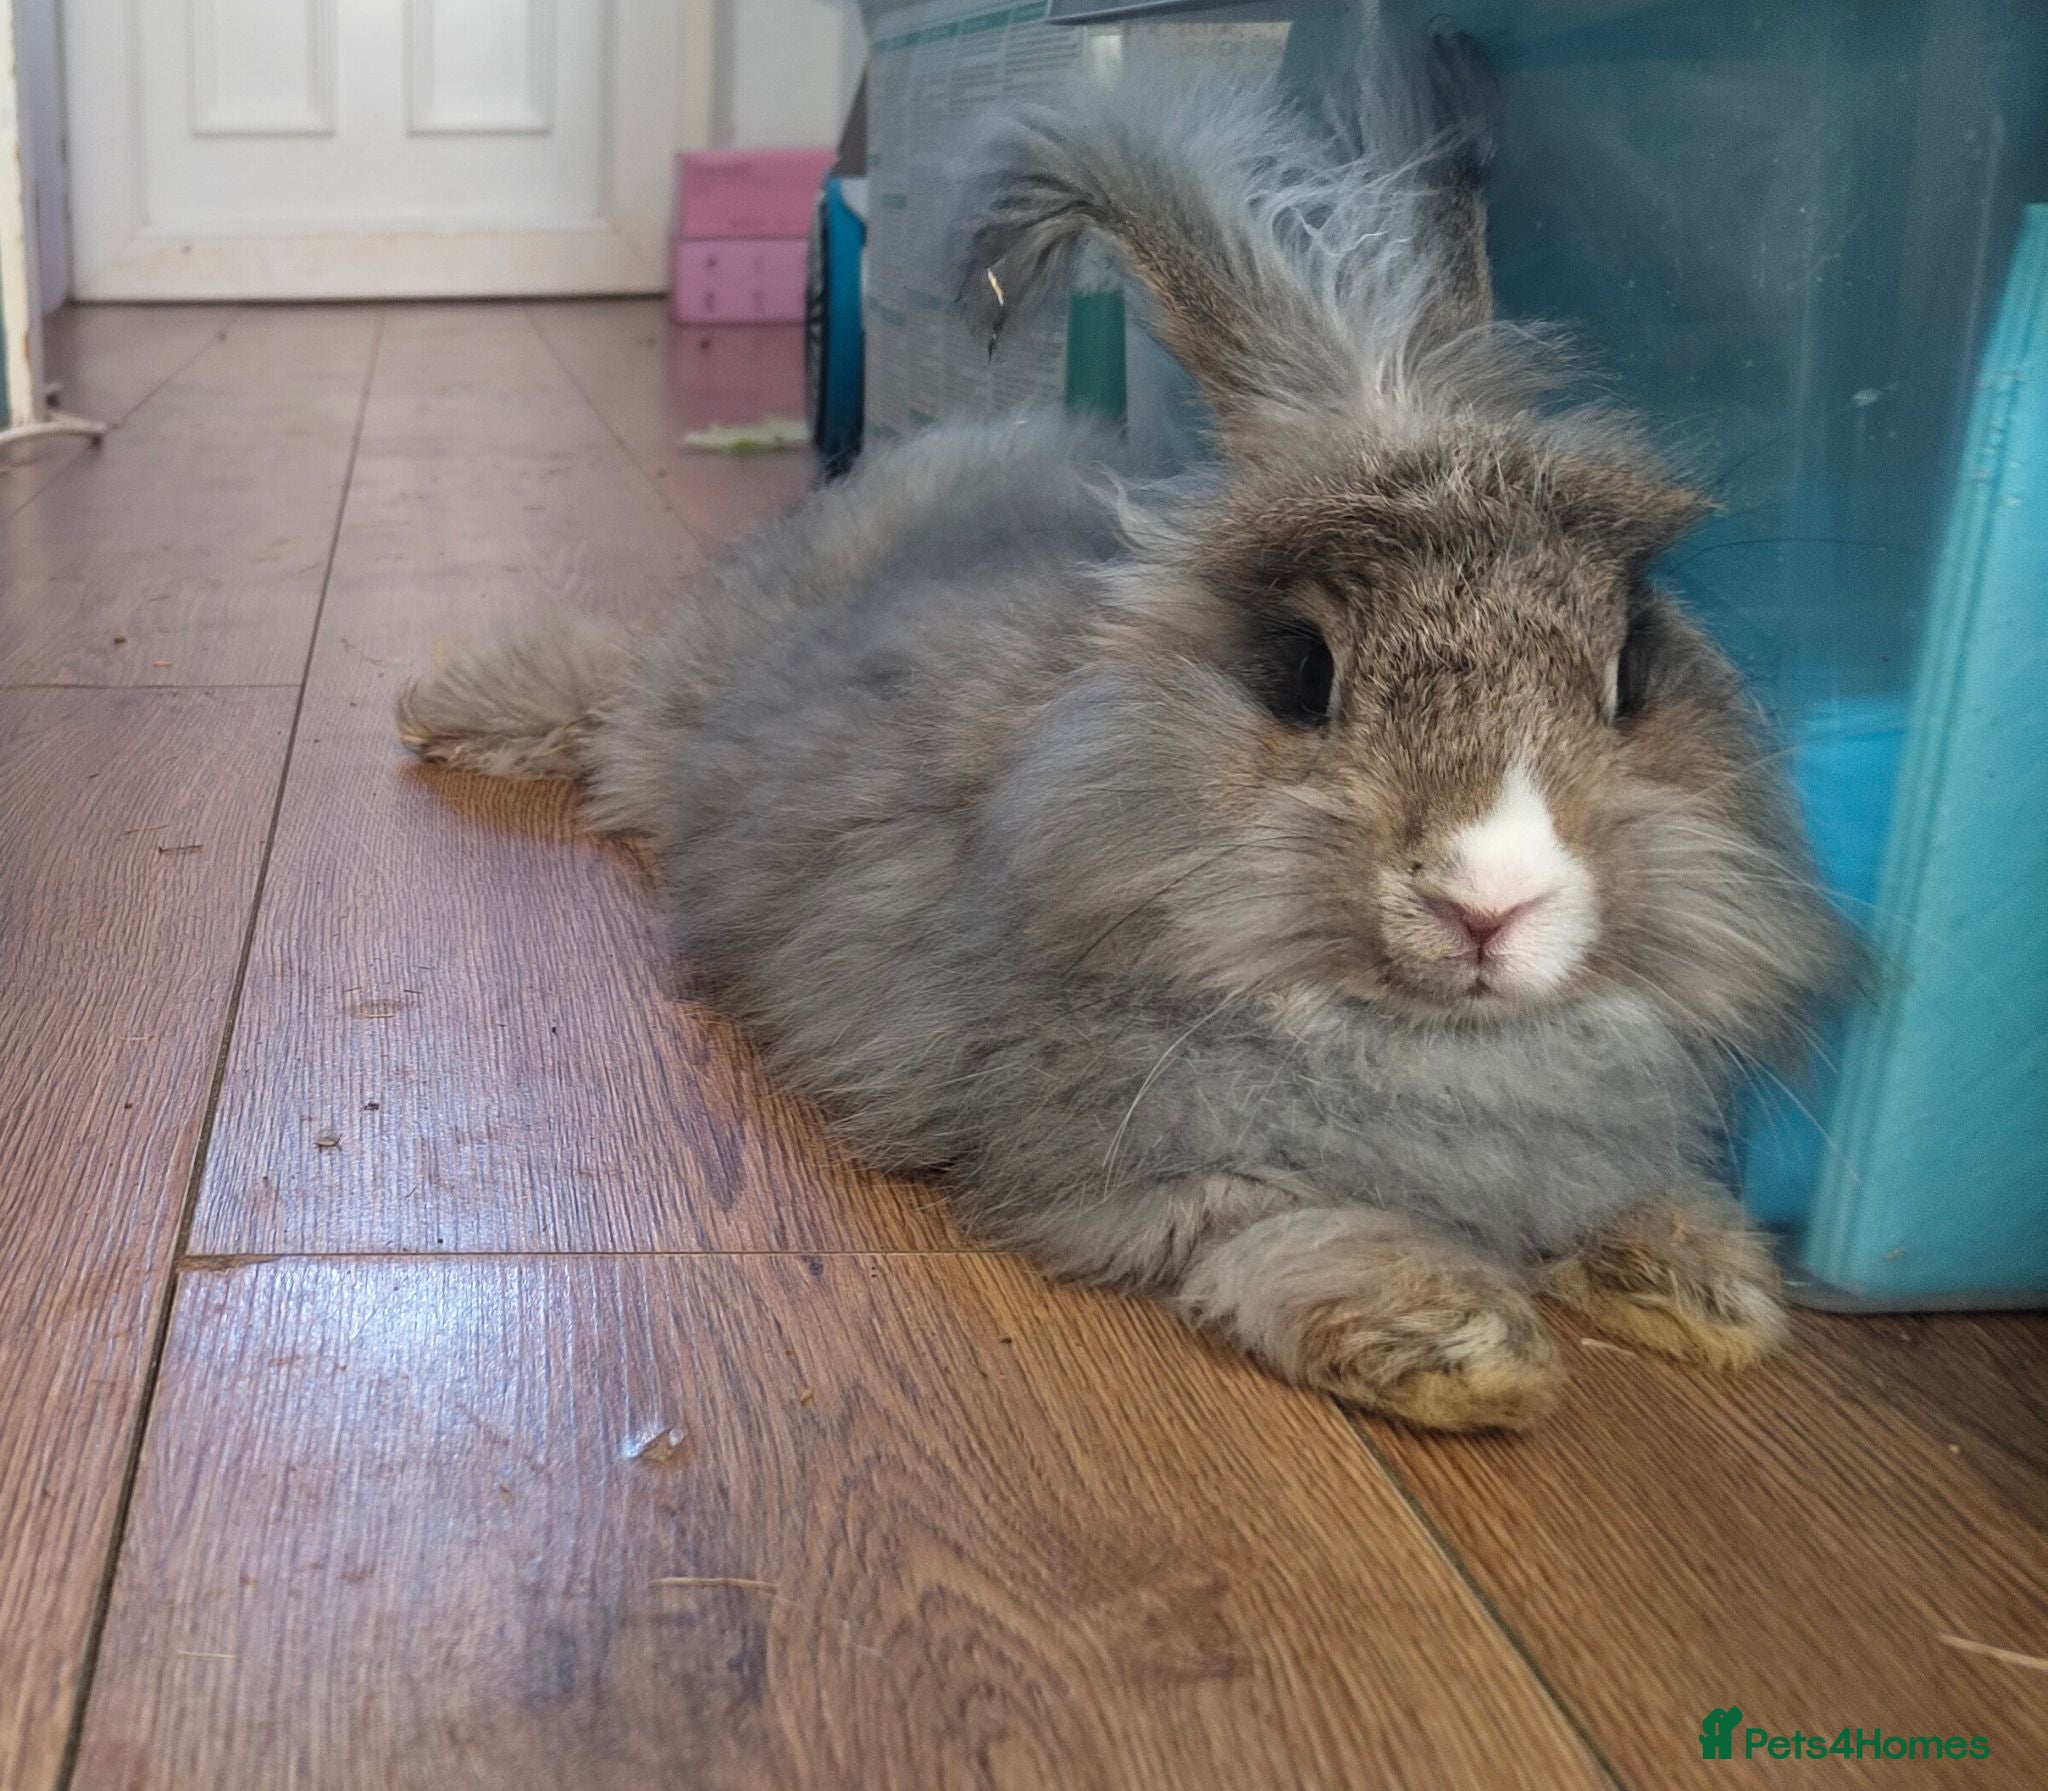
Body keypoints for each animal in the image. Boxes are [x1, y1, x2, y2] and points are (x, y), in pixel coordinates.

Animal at [397, 28, 1850, 1431]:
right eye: (1303, 671)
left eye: (1628, 671)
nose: (1490, 899)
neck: (1440, 1045)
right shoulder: (1141, 1171)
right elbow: (1294, 1228)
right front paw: (1463, 1349)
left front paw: (1709, 1288)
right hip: (678, 709)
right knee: (609, 690)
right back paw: (443, 701)